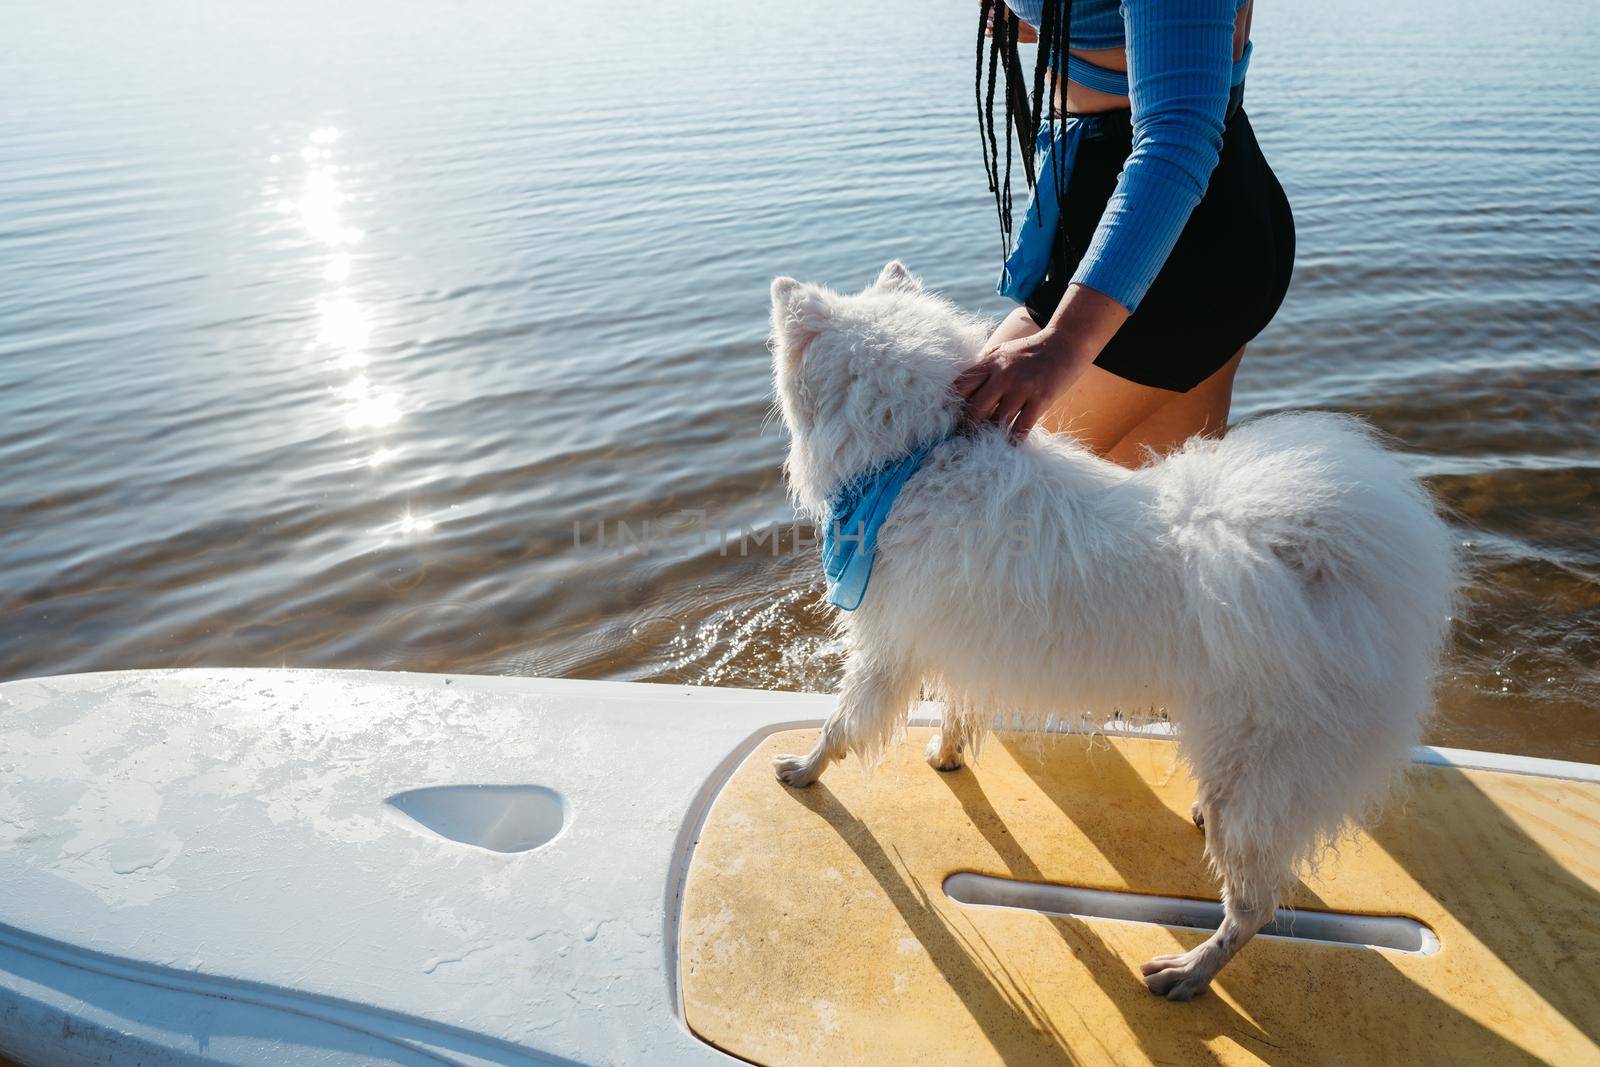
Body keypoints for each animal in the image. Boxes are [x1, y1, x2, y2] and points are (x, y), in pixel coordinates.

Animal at [768, 259, 1459, 1004]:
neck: (922, 456)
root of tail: (1348, 571)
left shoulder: (886, 647)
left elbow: (841, 723)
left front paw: (803, 769)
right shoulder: (956, 637)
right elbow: (957, 705)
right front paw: (946, 753)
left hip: (1259, 765)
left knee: (1253, 907)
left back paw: (1189, 971)